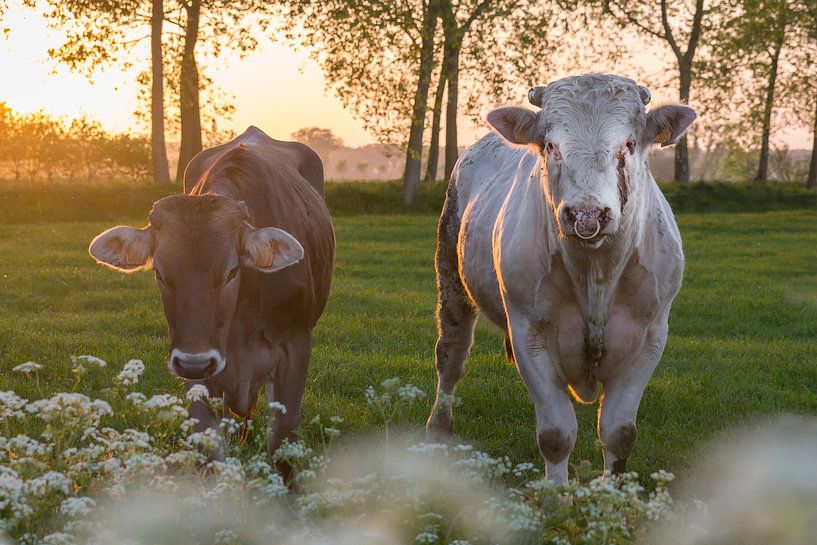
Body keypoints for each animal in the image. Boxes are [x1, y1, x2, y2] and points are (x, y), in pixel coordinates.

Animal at [89, 126, 334, 471]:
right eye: (160, 273)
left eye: (231, 271)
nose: (196, 361)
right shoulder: (195, 372)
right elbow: (210, 450)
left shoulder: (295, 347)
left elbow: (282, 443)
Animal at [425, 74, 695, 484]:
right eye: (551, 145)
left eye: (629, 144)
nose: (586, 215)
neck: (595, 275)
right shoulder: (529, 335)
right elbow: (555, 434)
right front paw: (555, 494)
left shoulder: (649, 337)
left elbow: (619, 433)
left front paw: (613, 492)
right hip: (451, 278)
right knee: (451, 357)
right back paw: (437, 430)